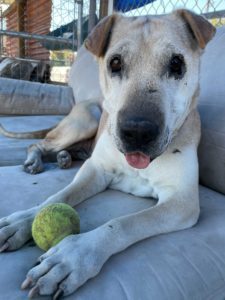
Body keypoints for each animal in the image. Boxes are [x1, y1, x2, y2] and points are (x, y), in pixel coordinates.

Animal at [0, 9, 215, 300]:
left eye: (176, 63)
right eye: (115, 63)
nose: (137, 131)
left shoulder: (182, 202)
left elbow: (123, 223)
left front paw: (73, 256)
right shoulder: (95, 170)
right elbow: (57, 196)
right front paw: (22, 220)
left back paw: (64, 158)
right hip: (88, 118)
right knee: (39, 144)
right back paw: (37, 160)